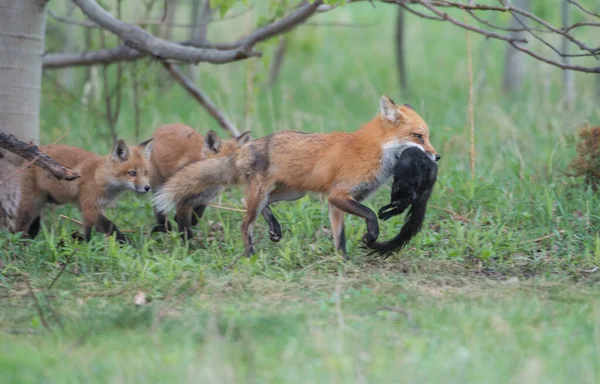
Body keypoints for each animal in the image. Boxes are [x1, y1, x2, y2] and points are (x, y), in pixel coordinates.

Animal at [16, 140, 154, 243]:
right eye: (132, 173)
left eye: (146, 173)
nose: (147, 187)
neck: (99, 177)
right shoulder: (90, 207)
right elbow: (111, 227)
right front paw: (129, 244)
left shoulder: (95, 209)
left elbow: (88, 232)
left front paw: (87, 247)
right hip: (31, 204)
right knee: (20, 227)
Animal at [148, 124, 284, 242]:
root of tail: (162, 128)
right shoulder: (182, 200)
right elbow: (185, 229)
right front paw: (188, 248)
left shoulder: (204, 199)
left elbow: (195, 218)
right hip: (158, 186)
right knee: (158, 208)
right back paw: (162, 226)